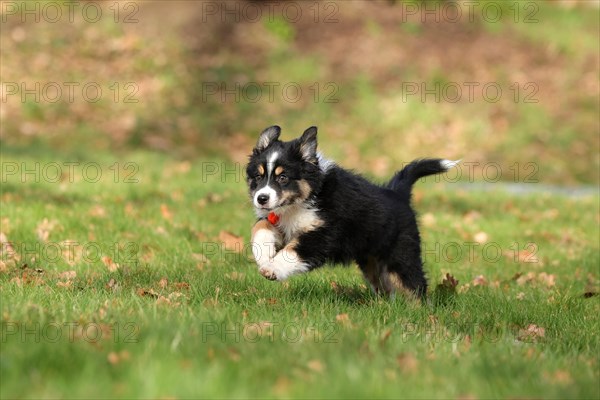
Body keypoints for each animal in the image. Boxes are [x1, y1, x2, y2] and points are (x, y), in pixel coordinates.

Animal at [246, 126, 458, 298]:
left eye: (283, 177)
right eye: (258, 176)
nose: (261, 198)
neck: (308, 196)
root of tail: (398, 193)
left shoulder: (323, 234)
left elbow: (292, 251)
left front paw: (272, 268)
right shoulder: (278, 221)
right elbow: (260, 227)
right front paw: (264, 255)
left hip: (401, 255)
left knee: (415, 287)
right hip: (372, 261)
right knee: (386, 288)